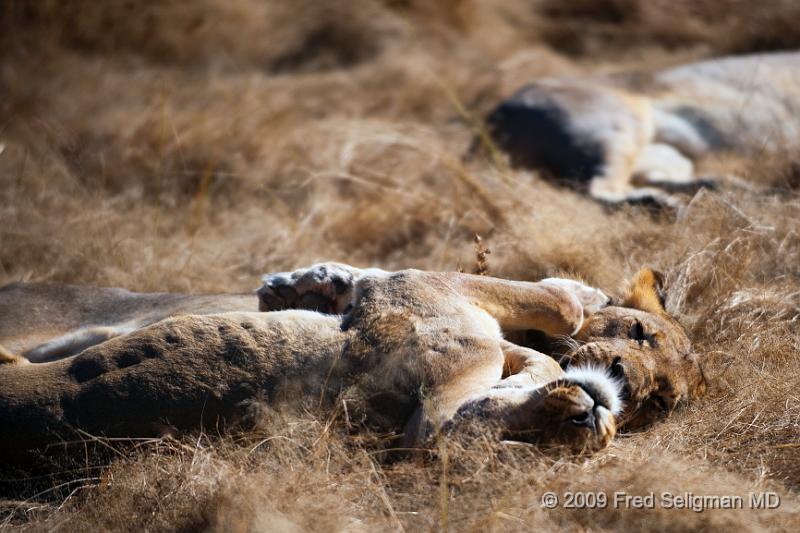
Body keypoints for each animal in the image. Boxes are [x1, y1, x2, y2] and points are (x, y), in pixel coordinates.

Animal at [482, 50, 800, 204]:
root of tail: (498, 110)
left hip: (667, 156)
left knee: (665, 180)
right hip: (616, 129)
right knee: (600, 189)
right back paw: (662, 206)